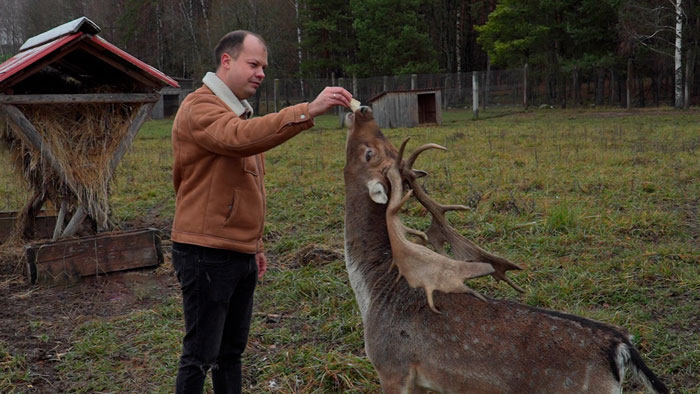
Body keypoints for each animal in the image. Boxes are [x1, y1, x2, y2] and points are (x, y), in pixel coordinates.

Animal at [342, 105, 668, 394]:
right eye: (382, 145)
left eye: (369, 152)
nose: (364, 110)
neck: (373, 293)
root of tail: (619, 345)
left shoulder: (391, 366)